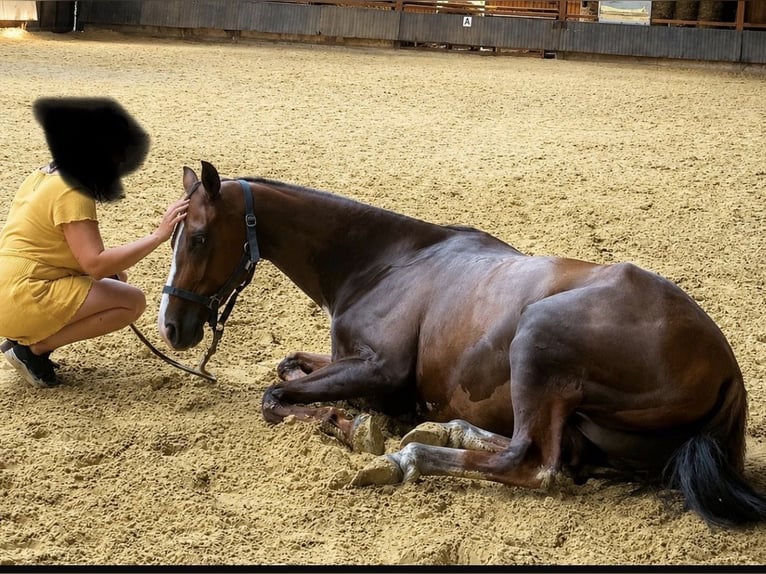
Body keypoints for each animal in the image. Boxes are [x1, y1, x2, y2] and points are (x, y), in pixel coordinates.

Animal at [157, 160, 766, 528]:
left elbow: (275, 398)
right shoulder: (347, 358)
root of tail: (728, 370)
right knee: (555, 451)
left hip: (536, 339)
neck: (385, 262)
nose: (171, 327)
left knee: (532, 463)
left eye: (200, 238)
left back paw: (409, 455)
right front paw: (346, 417)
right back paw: (445, 429)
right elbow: (288, 369)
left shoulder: (379, 370)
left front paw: (354, 426)